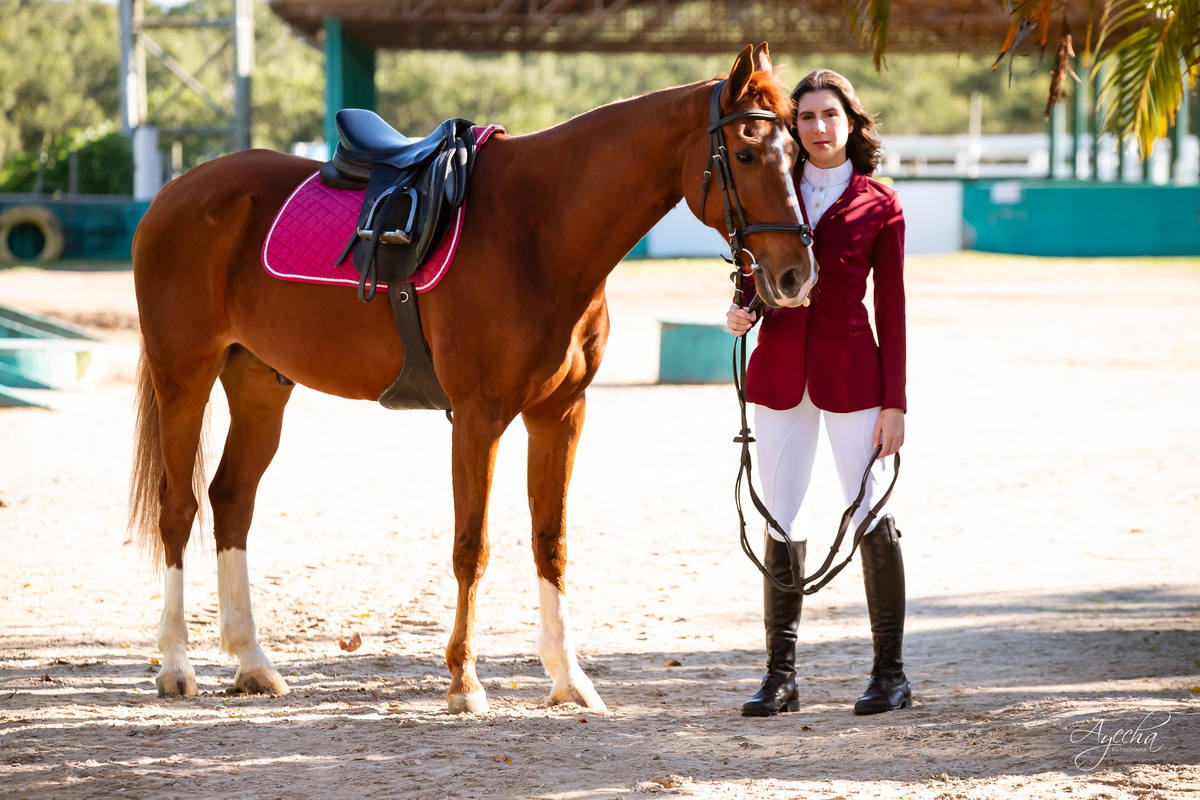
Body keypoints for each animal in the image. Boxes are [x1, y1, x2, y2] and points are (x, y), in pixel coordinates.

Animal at [127, 43, 816, 715]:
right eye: (746, 153)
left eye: (798, 152)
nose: (795, 275)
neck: (539, 229)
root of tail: (175, 193)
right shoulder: (480, 417)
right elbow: (472, 546)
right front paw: (464, 681)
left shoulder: (560, 414)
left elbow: (550, 541)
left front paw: (569, 679)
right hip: (184, 376)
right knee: (178, 507)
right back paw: (177, 666)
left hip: (259, 384)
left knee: (231, 500)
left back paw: (252, 662)